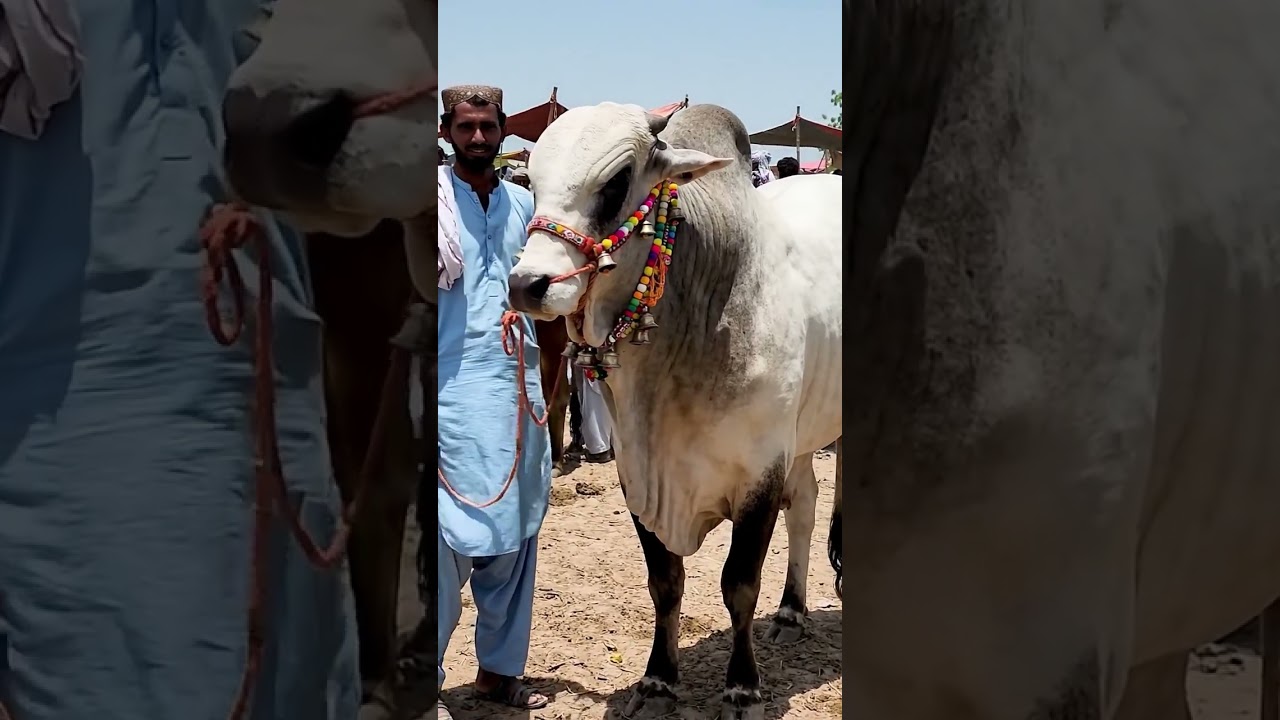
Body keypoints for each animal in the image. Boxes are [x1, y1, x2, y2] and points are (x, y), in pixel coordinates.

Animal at [506, 102, 843, 720]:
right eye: (533, 182)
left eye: (617, 181)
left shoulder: (759, 472)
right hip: (805, 432)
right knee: (806, 504)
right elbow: (665, 581)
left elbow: (739, 584)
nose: (527, 284)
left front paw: (742, 688)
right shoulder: (637, 472)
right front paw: (658, 681)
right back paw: (791, 611)